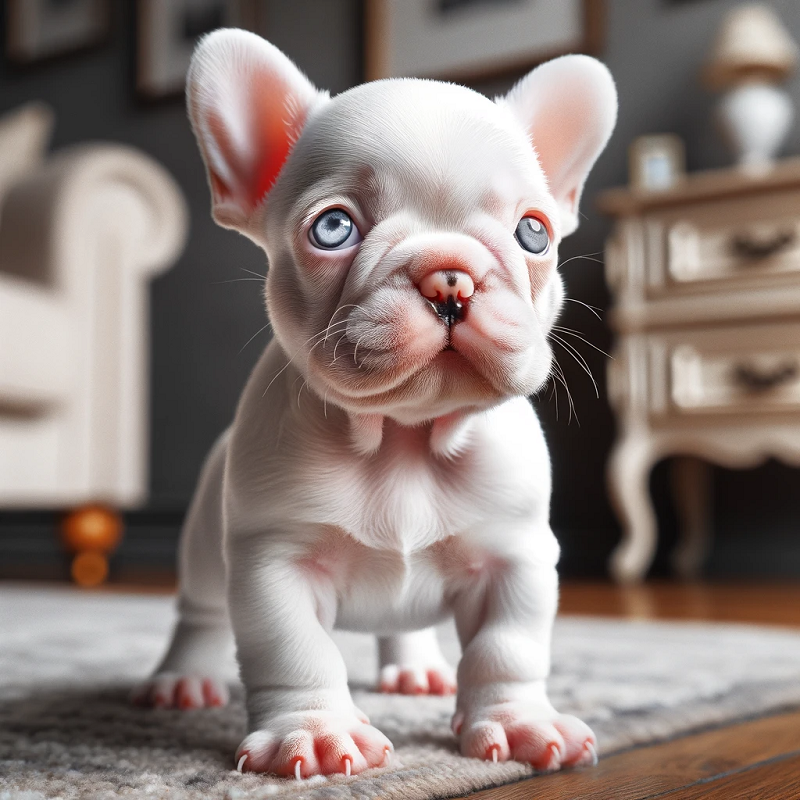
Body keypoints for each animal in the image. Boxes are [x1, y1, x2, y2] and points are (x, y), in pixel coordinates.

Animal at [133, 28, 620, 780]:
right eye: (333, 229)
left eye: (533, 233)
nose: (450, 276)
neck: (403, 436)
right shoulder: (275, 562)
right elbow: (295, 652)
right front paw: (312, 733)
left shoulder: (515, 558)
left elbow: (507, 649)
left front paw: (521, 723)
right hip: (205, 552)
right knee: (200, 613)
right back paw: (182, 679)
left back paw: (416, 669)